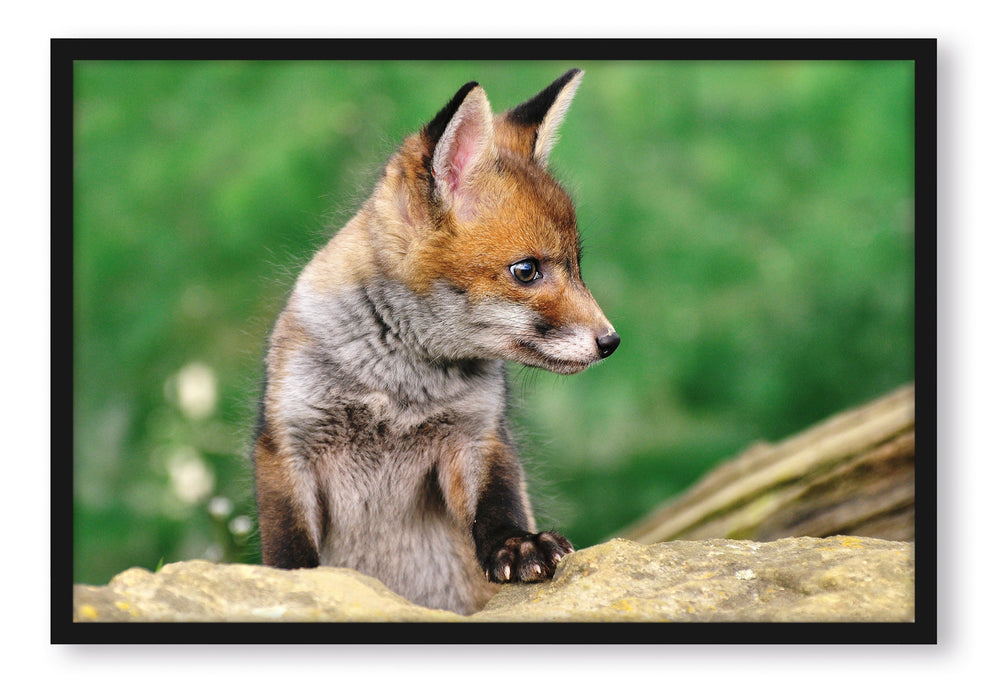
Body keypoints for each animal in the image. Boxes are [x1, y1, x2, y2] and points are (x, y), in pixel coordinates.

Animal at [253, 68, 619, 615]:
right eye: (527, 270)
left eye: (577, 266)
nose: (611, 340)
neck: (397, 389)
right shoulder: (286, 443)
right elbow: (288, 550)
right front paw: (295, 588)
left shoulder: (477, 436)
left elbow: (499, 504)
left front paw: (518, 545)